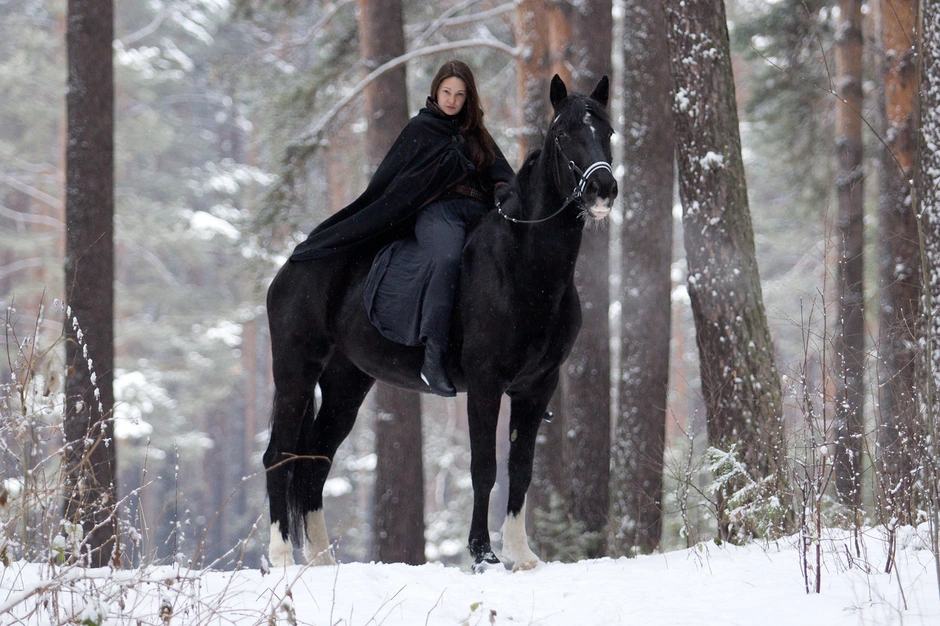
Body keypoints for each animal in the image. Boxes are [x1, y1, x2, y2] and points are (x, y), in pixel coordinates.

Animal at [264, 74, 616, 572]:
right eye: (564, 134)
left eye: (607, 131)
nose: (603, 188)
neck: (525, 266)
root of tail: (293, 264)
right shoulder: (486, 384)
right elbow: (484, 468)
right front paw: (483, 553)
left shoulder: (537, 386)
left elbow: (521, 469)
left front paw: (522, 554)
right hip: (296, 370)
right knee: (279, 455)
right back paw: (281, 557)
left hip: (346, 383)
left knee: (314, 461)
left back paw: (320, 561)